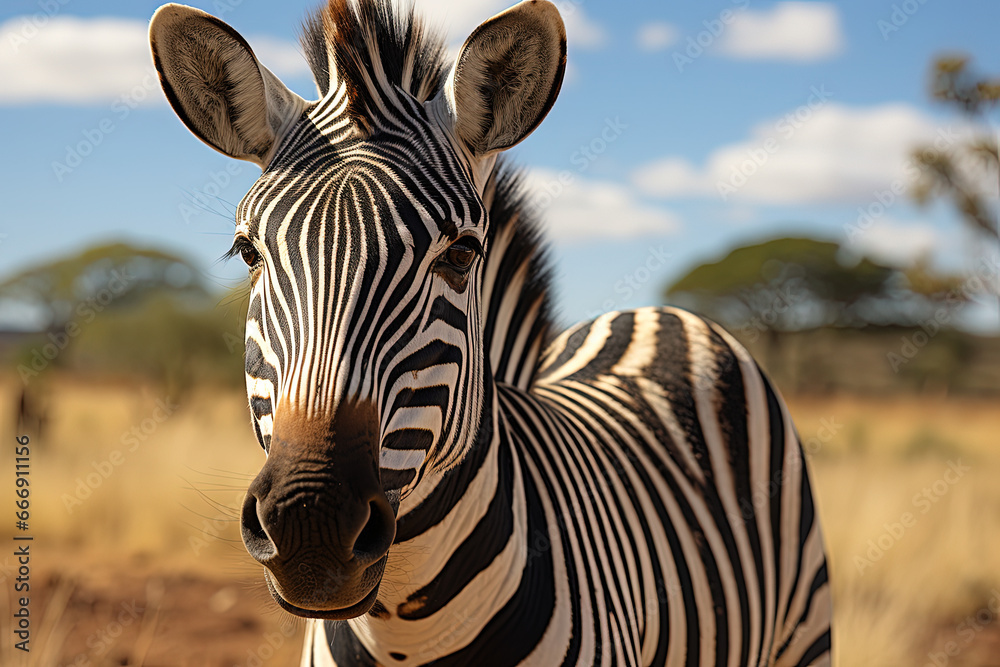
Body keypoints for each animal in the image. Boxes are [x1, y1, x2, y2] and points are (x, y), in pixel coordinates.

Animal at [149, 0, 832, 664]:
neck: (408, 630)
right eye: (247, 253)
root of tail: (654, 316)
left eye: (461, 254)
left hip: (804, 627)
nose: (310, 525)